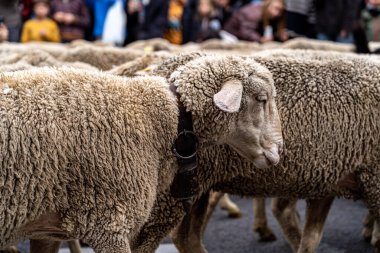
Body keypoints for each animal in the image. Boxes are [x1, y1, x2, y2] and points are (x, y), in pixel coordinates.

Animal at [164, 51, 380, 253]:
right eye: (262, 100)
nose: (280, 148)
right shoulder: (370, 179)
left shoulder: (330, 178)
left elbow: (311, 238)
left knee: (186, 237)